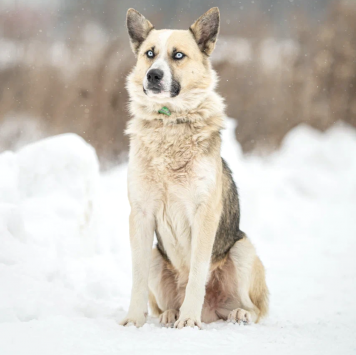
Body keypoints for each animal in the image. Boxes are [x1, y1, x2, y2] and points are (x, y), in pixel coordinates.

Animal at [119, 6, 268, 330]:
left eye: (178, 55)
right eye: (149, 54)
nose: (153, 75)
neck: (169, 123)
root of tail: (211, 313)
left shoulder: (204, 214)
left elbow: (198, 272)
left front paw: (188, 320)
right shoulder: (140, 215)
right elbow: (135, 278)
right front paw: (134, 320)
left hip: (242, 250)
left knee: (255, 309)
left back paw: (233, 314)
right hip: (155, 256)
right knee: (162, 301)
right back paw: (169, 314)